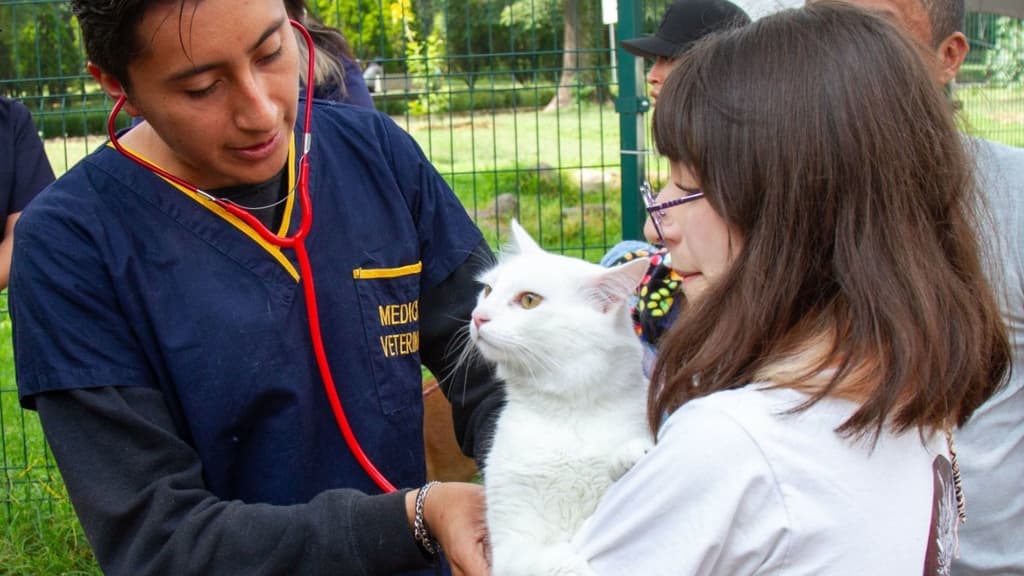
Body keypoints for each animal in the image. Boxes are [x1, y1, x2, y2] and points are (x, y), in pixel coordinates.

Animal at [469, 220, 654, 576]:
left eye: (529, 300)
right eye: (487, 291)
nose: (478, 317)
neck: (567, 411)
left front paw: (633, 454)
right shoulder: (511, 546)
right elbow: (555, 561)